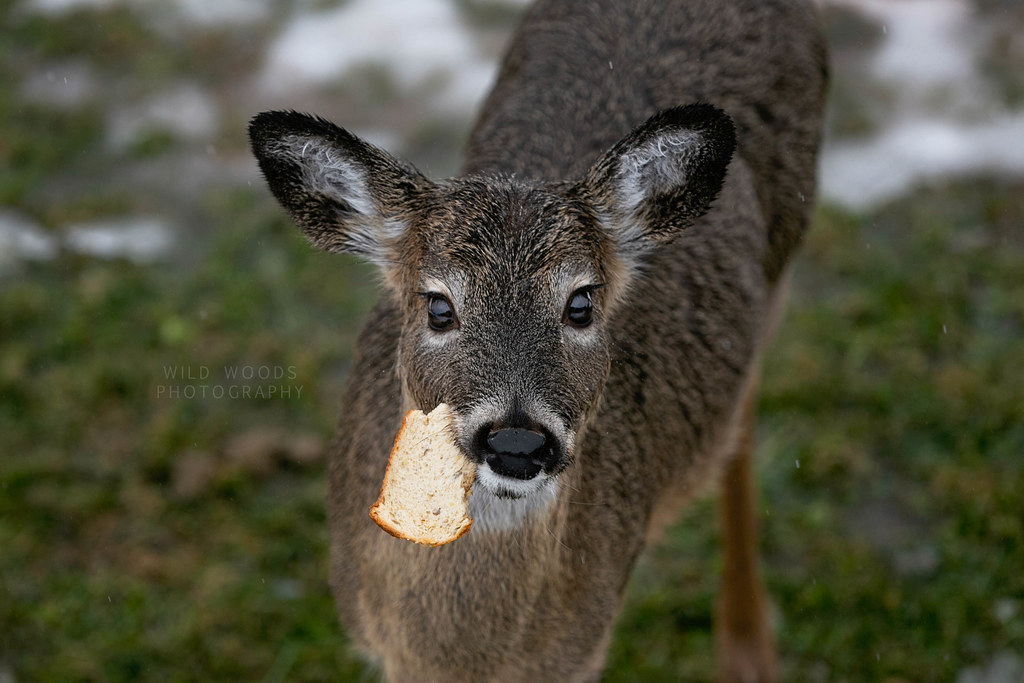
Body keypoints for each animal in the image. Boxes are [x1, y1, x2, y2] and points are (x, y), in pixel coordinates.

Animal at [249, 0, 827, 680]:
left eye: (581, 304)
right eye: (438, 306)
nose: (518, 440)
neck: (461, 657)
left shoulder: (580, 651)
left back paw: (747, 650)